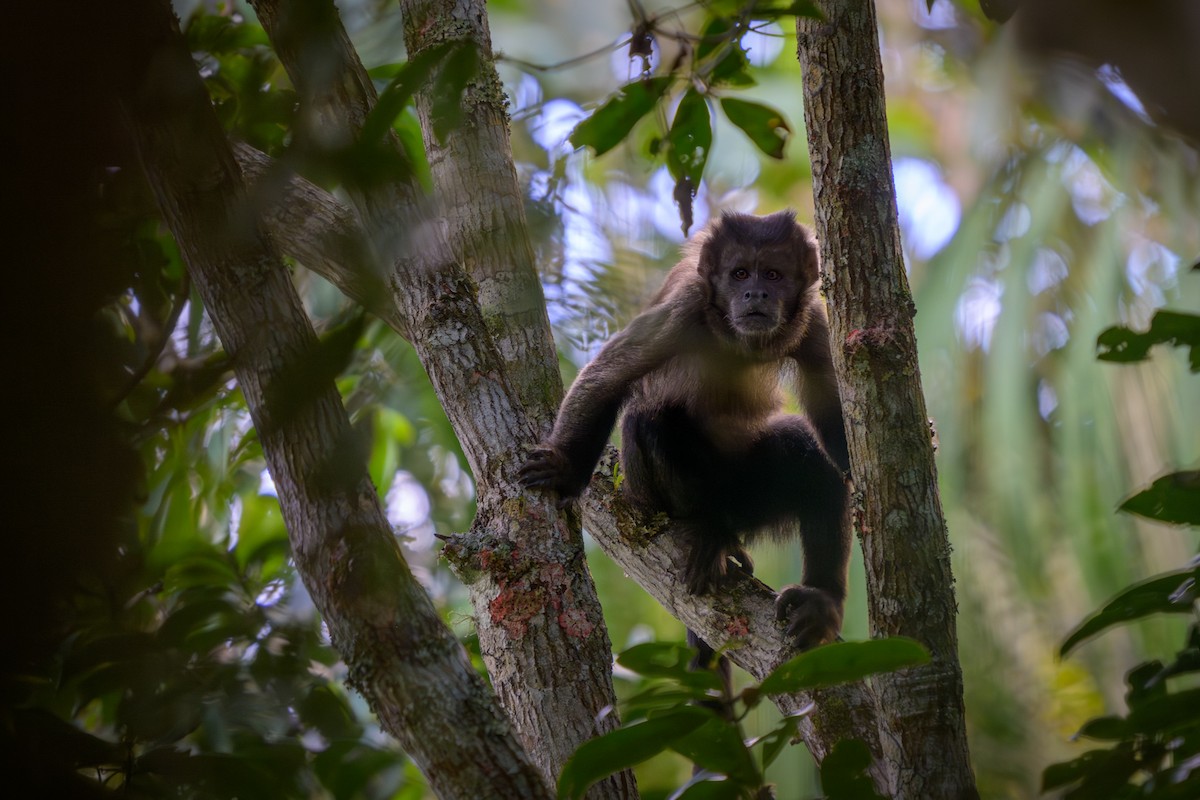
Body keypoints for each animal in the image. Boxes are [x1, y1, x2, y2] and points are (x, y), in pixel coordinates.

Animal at [519, 210, 851, 656]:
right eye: (740, 274)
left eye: (774, 274)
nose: (756, 294)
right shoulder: (684, 310)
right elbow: (607, 377)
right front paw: (567, 468)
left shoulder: (812, 321)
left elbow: (835, 421)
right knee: (652, 417)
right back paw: (710, 529)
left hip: (756, 496)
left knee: (812, 458)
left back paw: (820, 598)